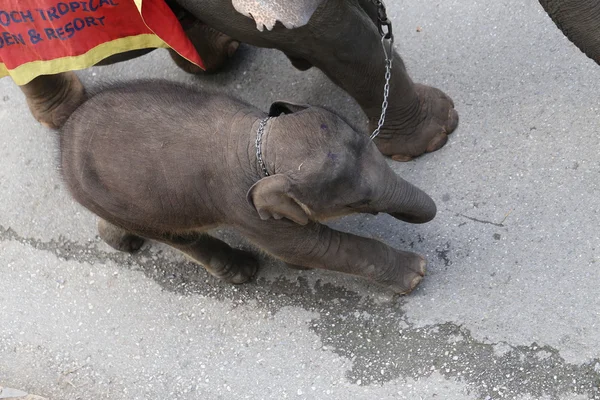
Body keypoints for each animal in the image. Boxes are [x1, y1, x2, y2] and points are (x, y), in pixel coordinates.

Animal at [59, 81, 436, 294]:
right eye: (359, 201)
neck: (261, 141)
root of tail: (64, 136)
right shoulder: (244, 210)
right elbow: (310, 247)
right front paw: (416, 274)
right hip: (115, 200)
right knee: (179, 237)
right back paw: (242, 271)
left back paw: (122, 242)